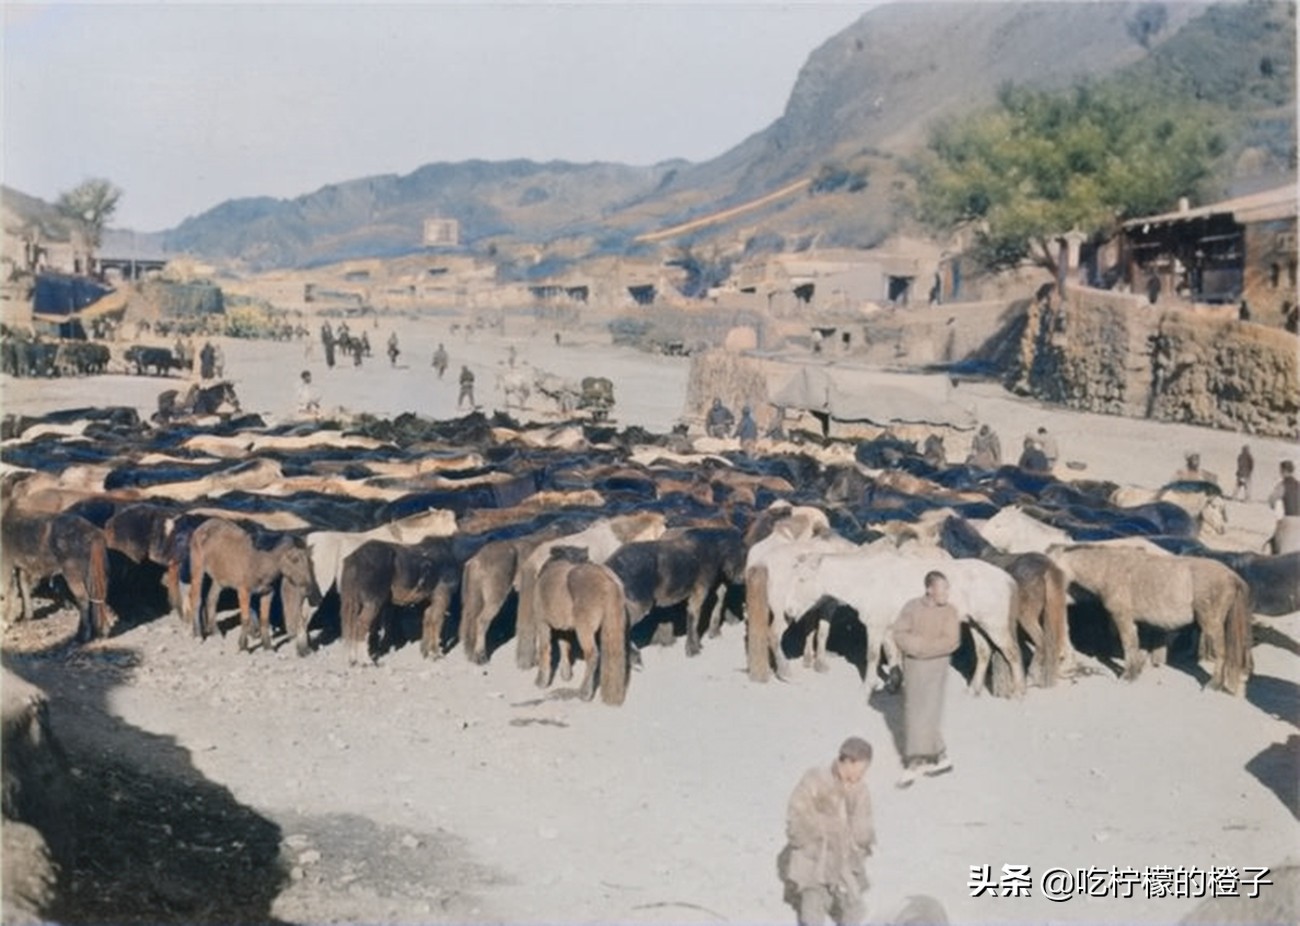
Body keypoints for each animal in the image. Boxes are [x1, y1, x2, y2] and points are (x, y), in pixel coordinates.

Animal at [185, 517, 319, 655]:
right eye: (295, 560)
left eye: (310, 562)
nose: (309, 590)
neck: (260, 562)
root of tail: (204, 525)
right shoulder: (244, 592)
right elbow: (245, 619)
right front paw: (243, 647)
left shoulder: (267, 593)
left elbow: (264, 619)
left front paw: (268, 647)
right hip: (198, 570)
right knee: (195, 599)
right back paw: (198, 635)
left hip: (219, 579)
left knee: (211, 600)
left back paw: (216, 633)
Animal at [340, 535, 462, 665]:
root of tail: (356, 557)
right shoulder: (442, 596)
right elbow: (436, 621)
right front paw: (435, 654)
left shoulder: (427, 601)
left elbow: (427, 620)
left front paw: (425, 652)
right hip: (372, 604)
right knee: (361, 625)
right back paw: (366, 661)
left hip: (355, 602)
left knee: (352, 625)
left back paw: (353, 659)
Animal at [530, 548, 626, 707]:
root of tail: (607, 580)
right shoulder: (564, 629)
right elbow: (564, 647)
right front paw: (566, 674)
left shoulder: (542, 623)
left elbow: (544, 648)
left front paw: (542, 681)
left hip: (584, 629)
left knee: (592, 655)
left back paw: (584, 693)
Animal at [1050, 543, 1253, 697]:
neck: (1109, 569)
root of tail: (1232, 576)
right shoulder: (1139, 622)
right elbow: (1139, 646)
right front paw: (1137, 670)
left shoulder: (1123, 617)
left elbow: (1129, 645)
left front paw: (1128, 675)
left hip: (1211, 623)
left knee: (1222, 652)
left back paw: (1214, 684)